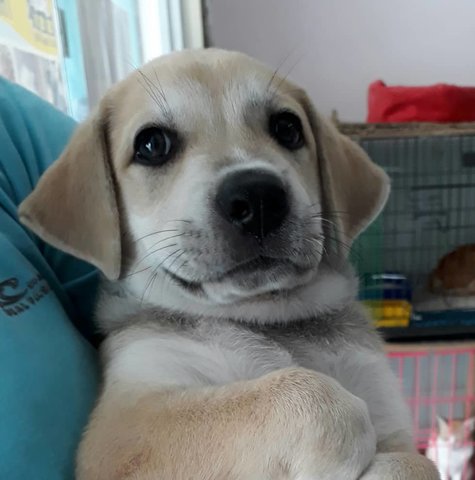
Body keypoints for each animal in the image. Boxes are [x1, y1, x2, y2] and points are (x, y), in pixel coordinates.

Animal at [19, 49, 442, 480]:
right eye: (152, 144)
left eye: (288, 128)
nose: (258, 198)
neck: (267, 321)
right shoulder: (123, 430)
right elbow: (305, 398)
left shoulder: (384, 402)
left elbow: (414, 464)